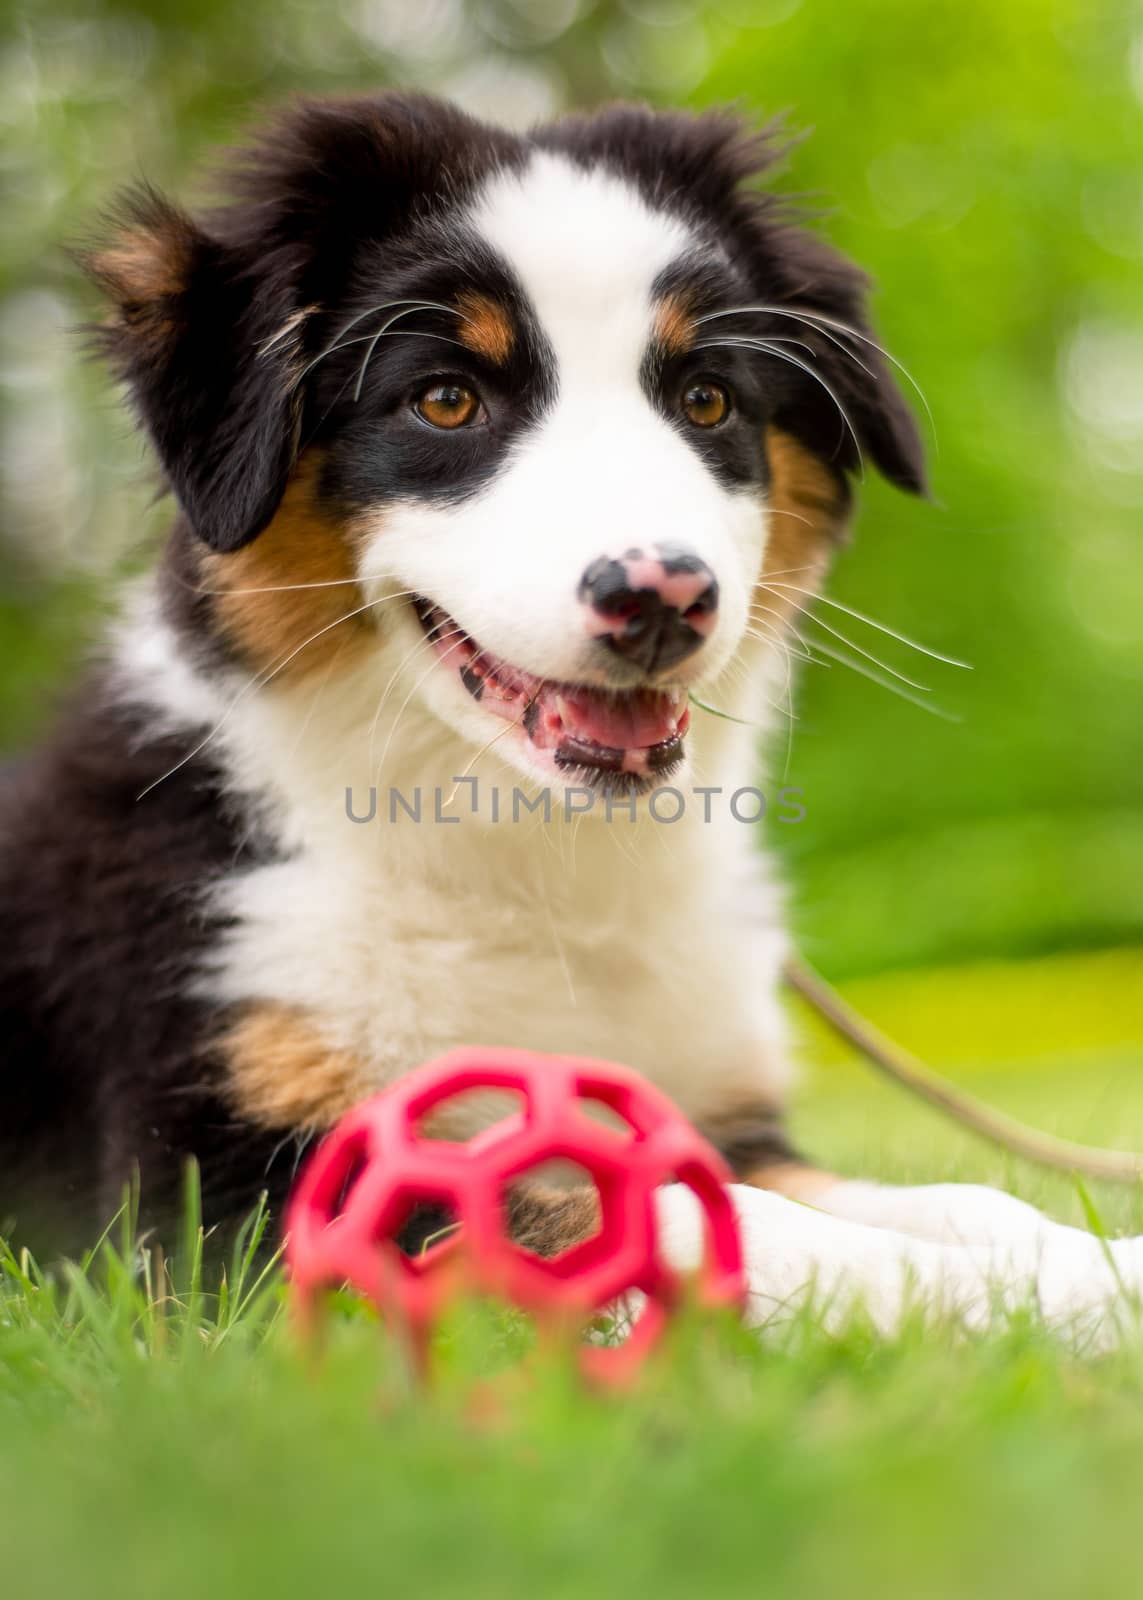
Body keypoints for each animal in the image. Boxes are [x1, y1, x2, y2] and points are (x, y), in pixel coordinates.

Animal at [6, 93, 1139, 1331]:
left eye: (706, 398)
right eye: (446, 398)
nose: (662, 597)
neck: (528, 860)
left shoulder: (721, 1112)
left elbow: (955, 1197)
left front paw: (1098, 1262)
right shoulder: (218, 1190)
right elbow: (673, 1216)